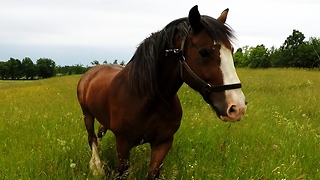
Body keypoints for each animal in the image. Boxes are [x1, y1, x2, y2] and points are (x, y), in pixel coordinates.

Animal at [77, 4, 248, 179]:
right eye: (203, 52)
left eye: (231, 50)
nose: (237, 107)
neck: (146, 99)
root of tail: (91, 73)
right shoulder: (123, 144)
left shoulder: (163, 143)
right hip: (87, 115)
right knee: (92, 138)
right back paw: (96, 167)